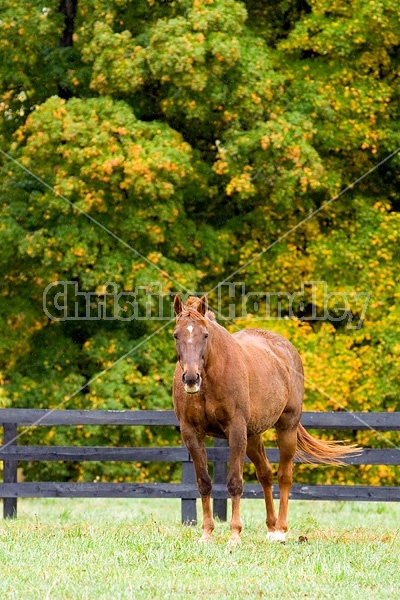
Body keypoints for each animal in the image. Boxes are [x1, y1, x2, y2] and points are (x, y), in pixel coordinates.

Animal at [171, 292, 356, 548]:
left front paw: (235, 535)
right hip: (253, 436)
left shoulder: (236, 431)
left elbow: (235, 482)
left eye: (205, 335)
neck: (211, 376)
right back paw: (270, 527)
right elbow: (204, 482)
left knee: (284, 476)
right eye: (176, 334)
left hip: (286, 428)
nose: (191, 378)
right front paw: (207, 533)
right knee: (265, 475)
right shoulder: (191, 433)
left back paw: (280, 531)